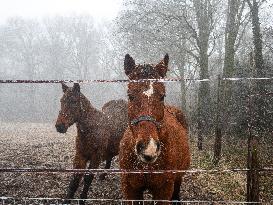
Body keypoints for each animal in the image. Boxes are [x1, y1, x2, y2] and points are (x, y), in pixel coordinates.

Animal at [118, 53, 190, 204]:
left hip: (178, 179)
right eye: (130, 96)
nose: (148, 148)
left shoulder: (164, 190)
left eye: (162, 96)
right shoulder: (130, 189)